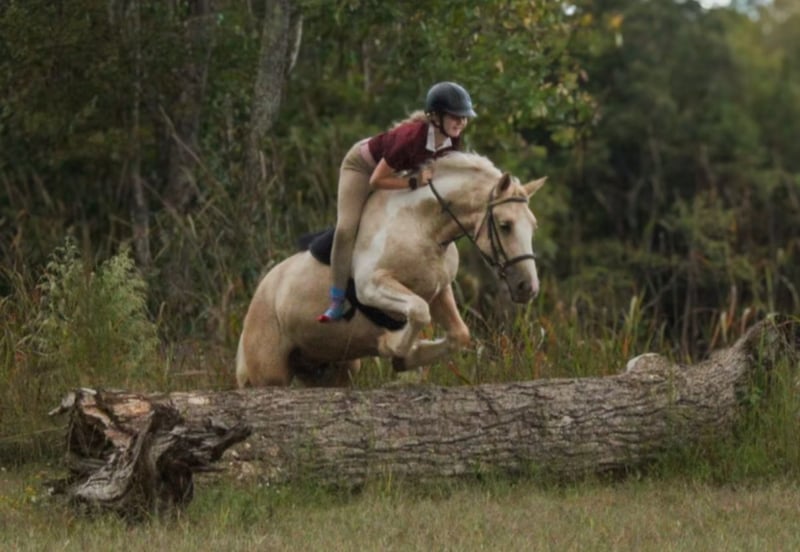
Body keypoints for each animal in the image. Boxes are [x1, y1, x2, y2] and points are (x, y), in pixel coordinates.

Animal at [236, 151, 546, 387]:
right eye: (505, 225)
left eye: (533, 226)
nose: (527, 288)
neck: (423, 225)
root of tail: (261, 292)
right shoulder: (372, 285)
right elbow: (418, 312)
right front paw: (396, 348)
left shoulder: (439, 289)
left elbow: (459, 333)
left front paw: (409, 357)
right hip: (268, 372)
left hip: (336, 369)